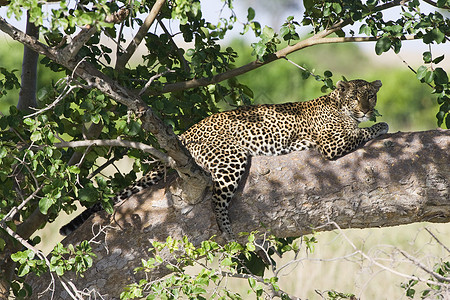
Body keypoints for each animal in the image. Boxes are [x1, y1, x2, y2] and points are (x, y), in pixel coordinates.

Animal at [59, 78, 388, 238]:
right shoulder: (332, 144)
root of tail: (187, 132)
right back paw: (227, 230)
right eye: (355, 97)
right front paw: (380, 125)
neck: (338, 105)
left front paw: (375, 122)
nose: (366, 109)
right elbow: (362, 133)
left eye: (370, 96)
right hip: (231, 160)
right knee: (217, 201)